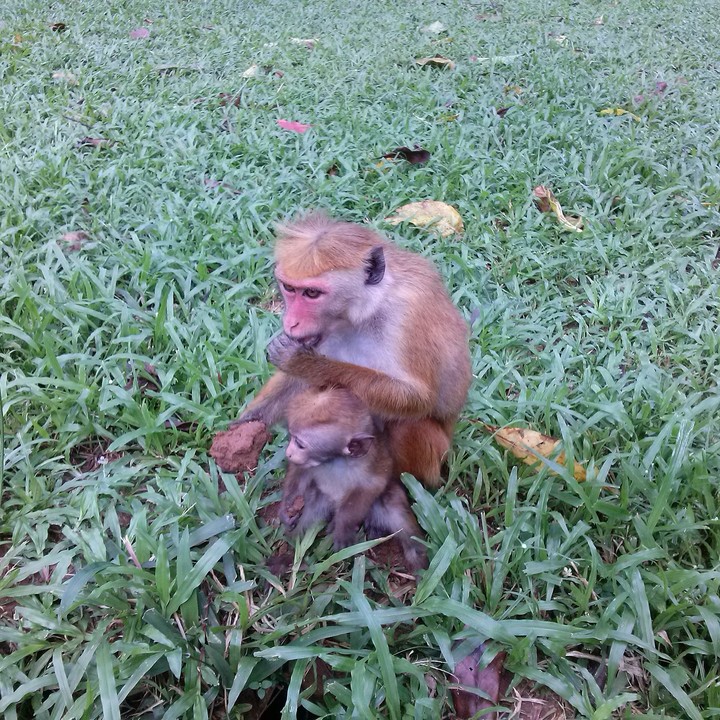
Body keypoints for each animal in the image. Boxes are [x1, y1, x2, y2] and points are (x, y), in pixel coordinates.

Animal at [233, 212, 472, 487]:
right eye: (289, 288)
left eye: (312, 293)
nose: (290, 321)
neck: (366, 310)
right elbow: (297, 383)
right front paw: (242, 429)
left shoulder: (407, 317)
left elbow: (416, 398)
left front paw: (304, 363)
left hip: (436, 456)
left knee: (407, 424)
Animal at [277, 387, 428, 572]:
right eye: (291, 437)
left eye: (300, 444)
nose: (289, 453)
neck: (336, 460)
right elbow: (300, 474)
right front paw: (286, 509)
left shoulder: (369, 465)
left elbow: (371, 486)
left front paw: (342, 526)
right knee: (310, 515)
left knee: (397, 514)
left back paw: (418, 560)